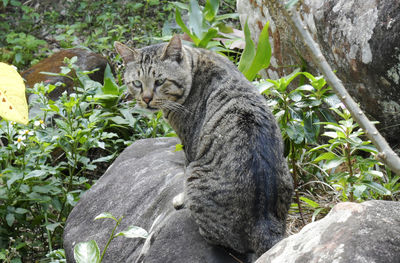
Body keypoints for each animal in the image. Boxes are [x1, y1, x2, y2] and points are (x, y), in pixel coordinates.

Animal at [114, 35, 292, 260]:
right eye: (137, 83)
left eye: (160, 81)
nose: (146, 99)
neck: (196, 61)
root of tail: (264, 225)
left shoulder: (189, 145)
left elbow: (183, 174)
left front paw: (181, 200)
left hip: (196, 175)